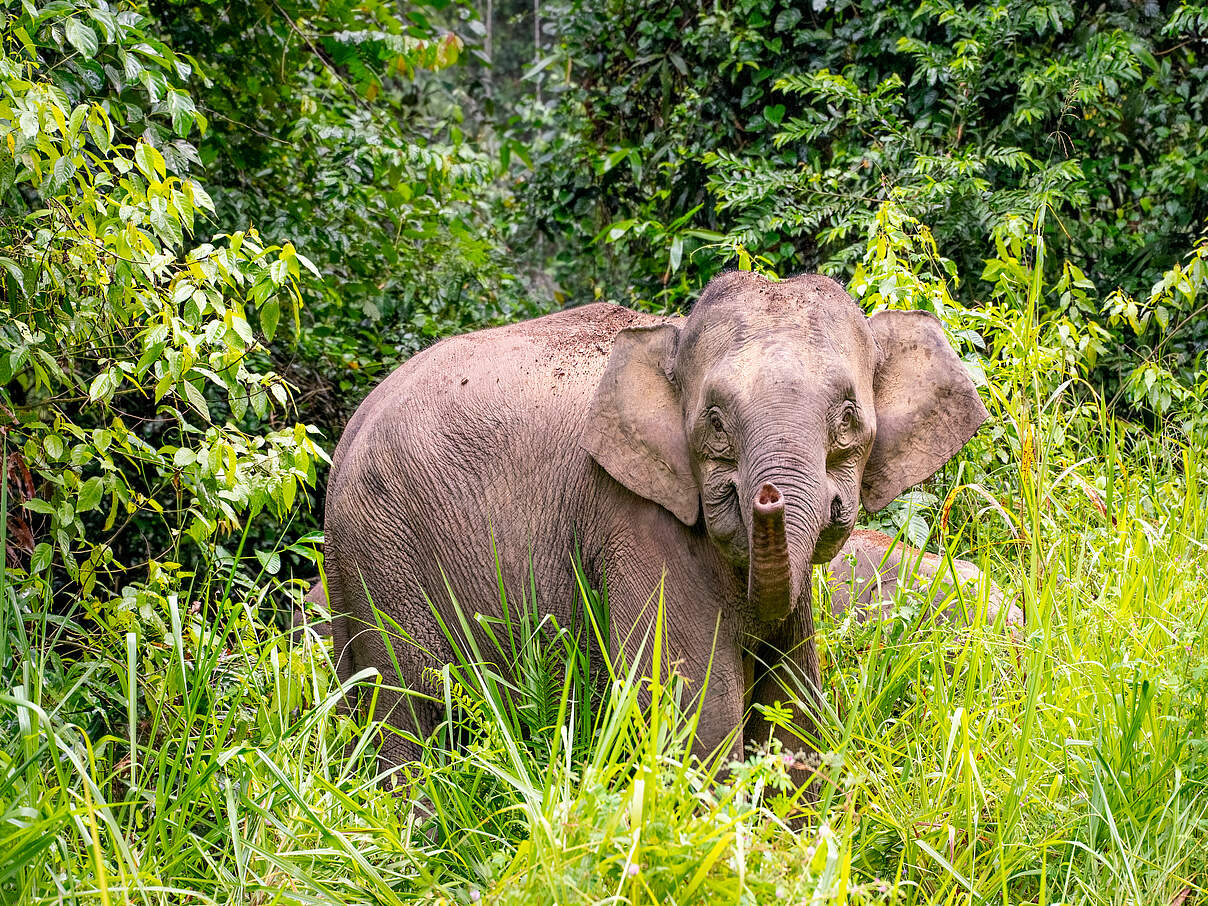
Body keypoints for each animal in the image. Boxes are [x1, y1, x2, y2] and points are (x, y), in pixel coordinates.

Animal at [322, 270, 988, 778]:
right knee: (409, 712)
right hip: (383, 556)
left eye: (848, 418)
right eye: (714, 423)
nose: (767, 496)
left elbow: (792, 703)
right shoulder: (634, 518)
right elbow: (696, 708)